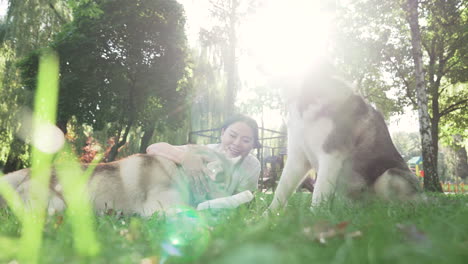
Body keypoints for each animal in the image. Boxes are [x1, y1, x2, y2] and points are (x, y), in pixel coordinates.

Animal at [0, 144, 239, 217]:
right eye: (221, 181)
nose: (234, 194)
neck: (179, 172)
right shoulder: (158, 209)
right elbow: (198, 212)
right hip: (57, 204)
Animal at [268, 62, 422, 210]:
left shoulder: (331, 154)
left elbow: (318, 192)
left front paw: (314, 216)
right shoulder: (297, 158)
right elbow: (280, 191)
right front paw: (268, 217)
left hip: (389, 175)